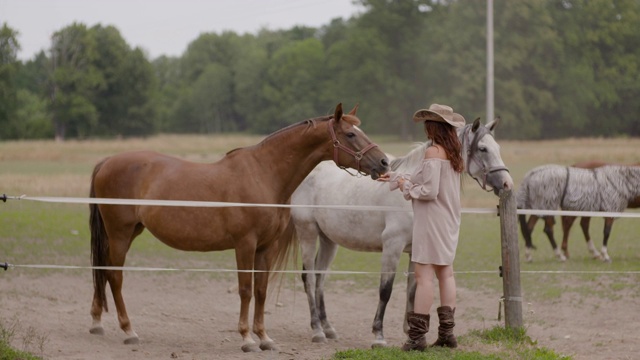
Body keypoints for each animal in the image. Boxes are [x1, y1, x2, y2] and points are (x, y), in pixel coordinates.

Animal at [89, 103, 390, 352]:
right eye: (350, 134)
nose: (384, 162)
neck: (263, 174)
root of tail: (107, 162)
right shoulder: (245, 244)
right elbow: (245, 289)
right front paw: (246, 338)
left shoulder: (266, 248)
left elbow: (261, 290)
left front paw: (264, 338)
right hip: (120, 233)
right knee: (114, 276)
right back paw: (128, 331)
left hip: (129, 232)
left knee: (104, 273)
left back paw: (97, 322)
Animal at [292, 116, 512, 348]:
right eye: (483, 148)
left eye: (497, 147)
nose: (507, 183)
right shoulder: (392, 247)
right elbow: (385, 290)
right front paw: (378, 336)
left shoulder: (416, 251)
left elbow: (413, 291)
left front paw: (411, 333)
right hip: (308, 234)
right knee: (309, 278)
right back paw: (317, 330)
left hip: (328, 240)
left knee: (320, 278)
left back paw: (328, 328)